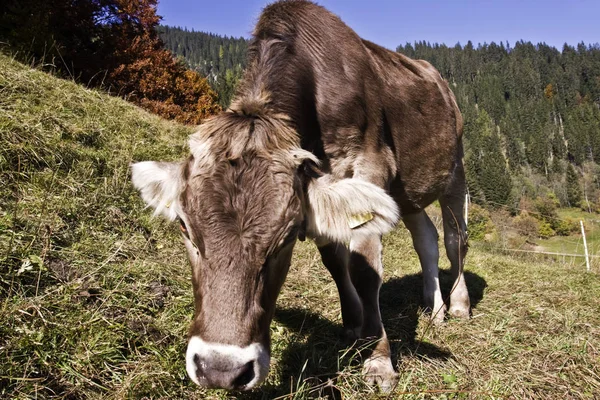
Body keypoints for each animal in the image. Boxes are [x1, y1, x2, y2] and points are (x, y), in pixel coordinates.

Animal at [130, 0, 468, 392]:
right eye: (185, 228)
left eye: (288, 236)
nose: (221, 369)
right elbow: (335, 260)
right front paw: (353, 324)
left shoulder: (371, 164)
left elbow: (365, 270)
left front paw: (378, 359)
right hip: (408, 192)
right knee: (426, 238)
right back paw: (435, 307)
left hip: (456, 168)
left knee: (455, 239)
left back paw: (459, 304)